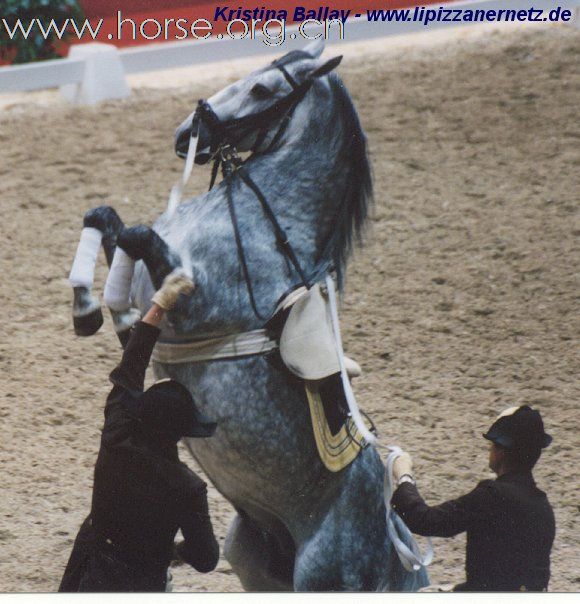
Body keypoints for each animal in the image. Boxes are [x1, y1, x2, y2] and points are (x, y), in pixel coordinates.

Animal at [69, 40, 430, 592]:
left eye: (262, 88)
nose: (187, 132)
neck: (266, 220)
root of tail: (394, 550)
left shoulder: (193, 307)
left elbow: (138, 235)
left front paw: (99, 306)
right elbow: (107, 219)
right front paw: (89, 307)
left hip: (320, 577)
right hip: (250, 556)